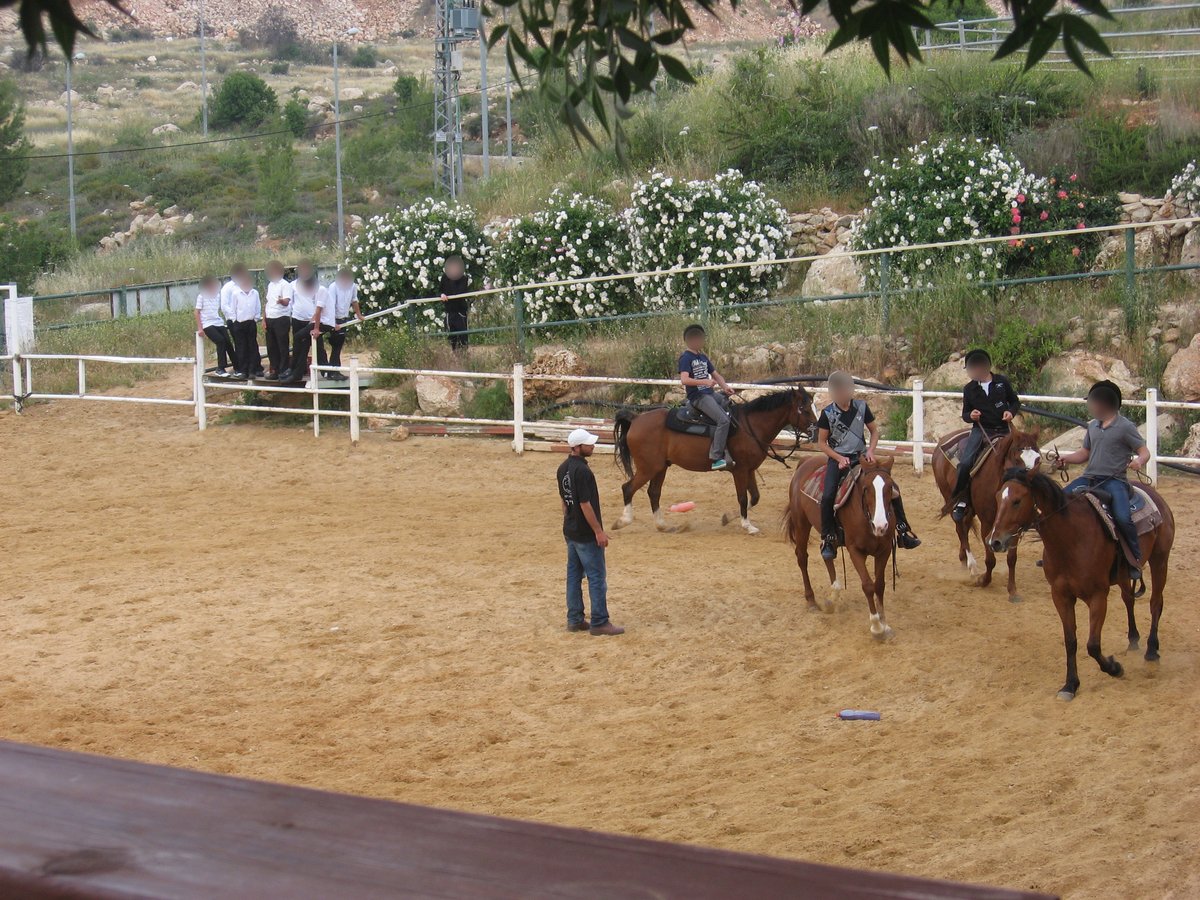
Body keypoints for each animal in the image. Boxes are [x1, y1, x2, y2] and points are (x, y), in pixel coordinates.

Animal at [614, 388, 820, 535]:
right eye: (804, 409)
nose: (817, 431)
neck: (749, 426)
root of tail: (636, 418)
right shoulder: (740, 470)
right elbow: (743, 497)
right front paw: (747, 526)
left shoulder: (750, 469)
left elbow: (754, 497)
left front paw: (728, 518)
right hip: (648, 468)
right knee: (628, 488)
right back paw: (622, 521)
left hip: (660, 467)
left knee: (653, 493)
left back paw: (663, 526)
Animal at [782, 458, 897, 643]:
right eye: (866, 488)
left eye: (890, 487)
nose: (881, 526)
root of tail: (806, 460)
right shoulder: (855, 550)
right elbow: (868, 585)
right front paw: (876, 627)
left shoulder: (884, 550)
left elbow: (879, 585)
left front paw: (885, 624)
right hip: (801, 523)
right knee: (802, 558)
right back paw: (811, 600)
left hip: (830, 535)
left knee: (826, 554)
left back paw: (833, 596)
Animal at [926, 427, 1041, 602]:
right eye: (1017, 458)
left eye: (1038, 459)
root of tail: (943, 440)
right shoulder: (986, 522)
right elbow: (990, 559)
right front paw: (983, 580)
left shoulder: (1014, 526)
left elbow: (1012, 559)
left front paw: (1012, 591)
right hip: (951, 499)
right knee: (961, 529)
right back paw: (972, 566)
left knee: (965, 526)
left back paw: (963, 559)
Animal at [988, 468, 1176, 700]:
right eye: (998, 498)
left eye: (1017, 501)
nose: (995, 542)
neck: (1071, 540)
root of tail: (1154, 494)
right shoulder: (1061, 596)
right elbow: (1071, 641)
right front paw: (1070, 685)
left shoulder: (1098, 596)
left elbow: (1093, 645)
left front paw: (1115, 668)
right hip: (1125, 574)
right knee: (1128, 599)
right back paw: (1133, 639)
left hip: (1160, 559)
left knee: (1155, 603)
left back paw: (1151, 650)